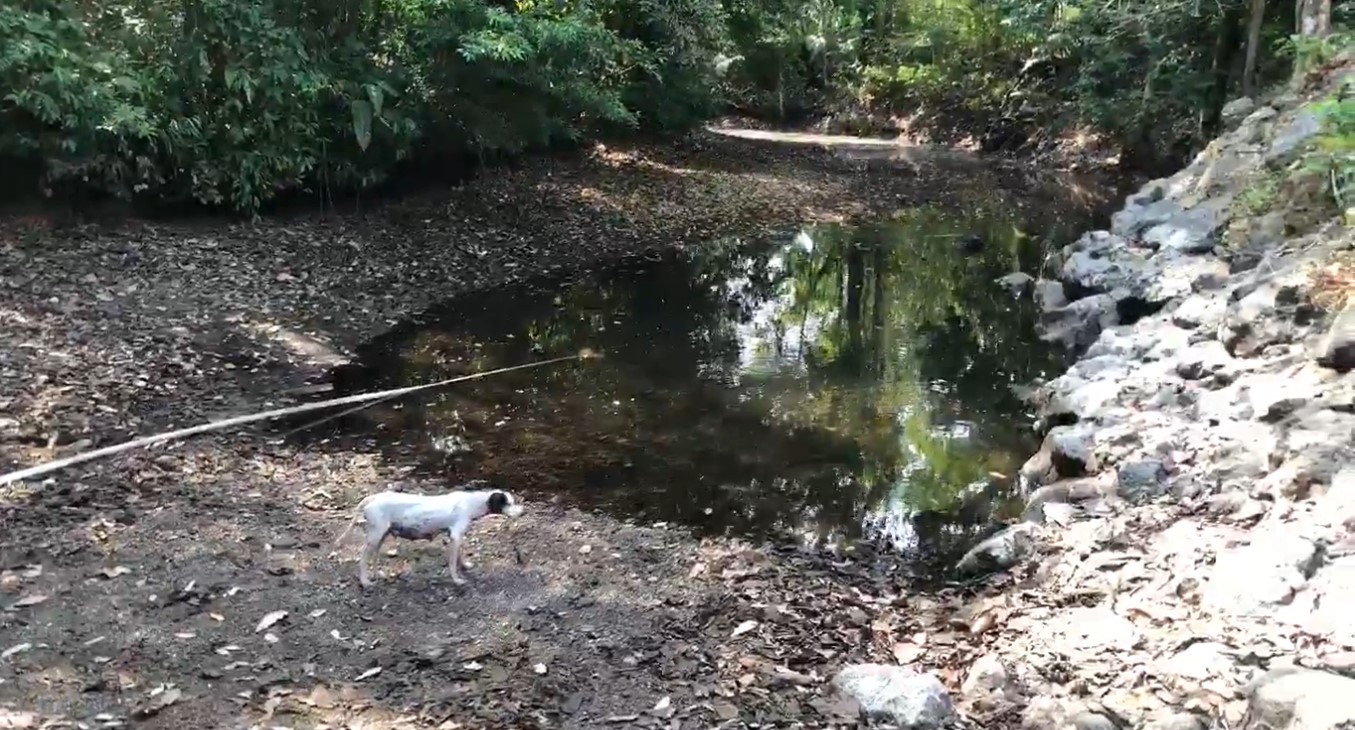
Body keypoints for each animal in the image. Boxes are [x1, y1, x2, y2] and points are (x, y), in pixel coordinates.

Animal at [336, 484, 525, 587]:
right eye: (508, 503)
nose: (523, 512)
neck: (472, 502)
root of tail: (372, 498)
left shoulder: (456, 536)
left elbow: (460, 556)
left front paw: (465, 566)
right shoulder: (455, 536)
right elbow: (452, 563)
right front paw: (457, 580)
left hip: (382, 534)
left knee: (374, 556)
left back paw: (376, 575)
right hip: (375, 535)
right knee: (362, 559)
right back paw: (365, 581)